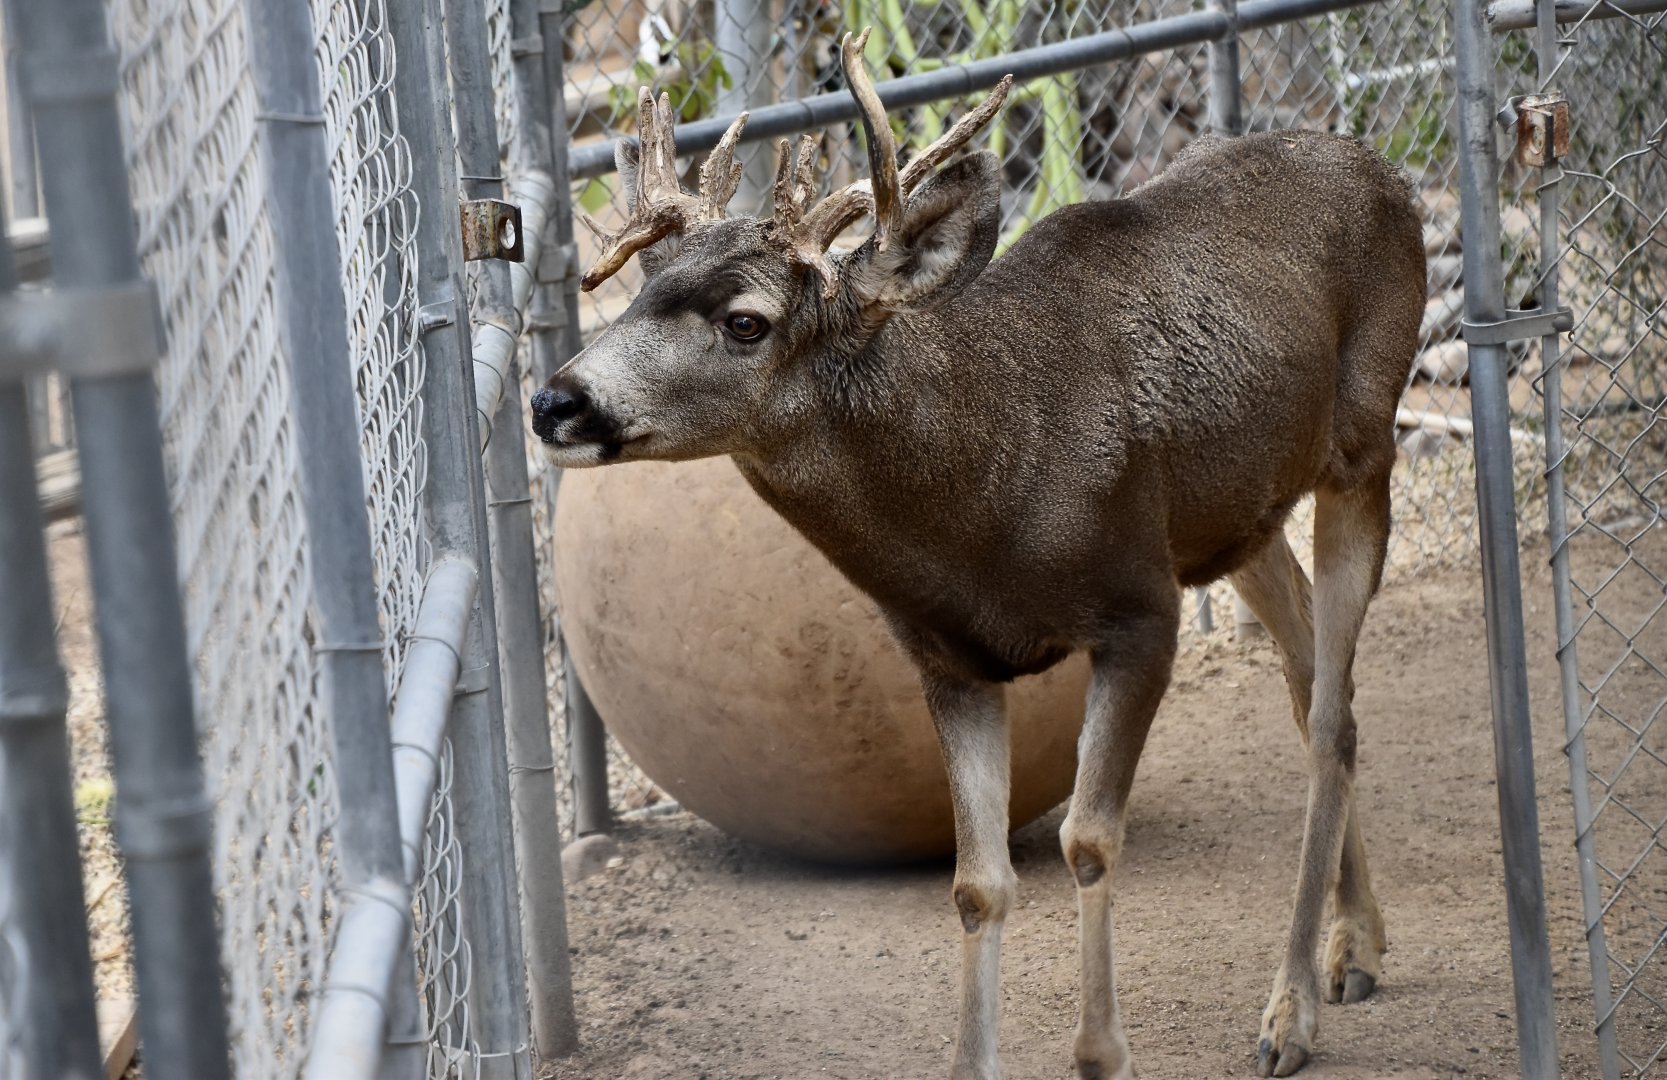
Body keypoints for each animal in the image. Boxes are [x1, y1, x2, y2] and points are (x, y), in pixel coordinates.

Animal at [531, 29, 1425, 1080]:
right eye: (639, 291)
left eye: (744, 320)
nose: (555, 401)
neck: (982, 510)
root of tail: (1383, 169)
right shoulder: (947, 659)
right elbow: (976, 884)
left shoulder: (1141, 610)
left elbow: (1087, 840)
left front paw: (1101, 1055)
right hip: (1235, 519)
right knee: (1313, 679)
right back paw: (1356, 946)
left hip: (1364, 445)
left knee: (1329, 714)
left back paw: (1289, 1010)